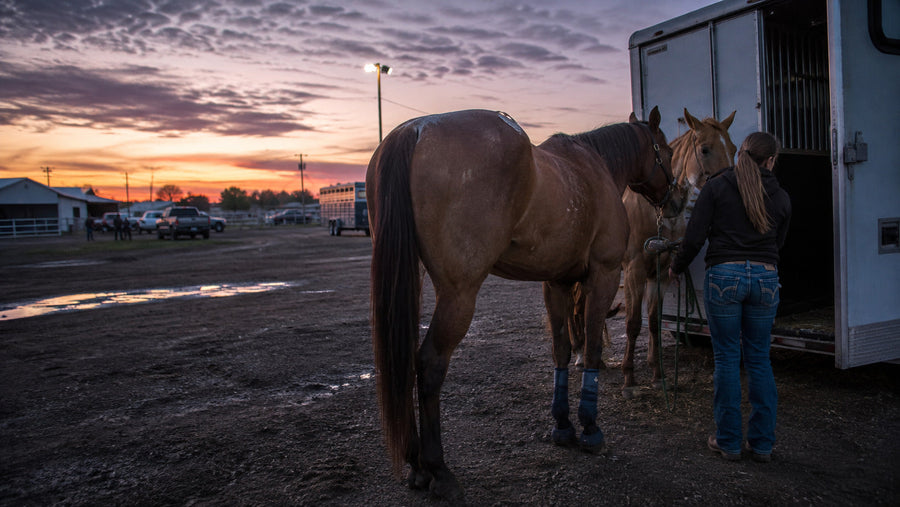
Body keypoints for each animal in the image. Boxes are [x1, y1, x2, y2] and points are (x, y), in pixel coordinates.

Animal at [367, 106, 679, 499]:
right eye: (667, 150)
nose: (677, 199)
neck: (596, 168)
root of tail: (416, 130)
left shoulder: (557, 282)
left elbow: (562, 350)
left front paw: (562, 424)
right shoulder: (604, 275)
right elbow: (592, 348)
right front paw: (590, 428)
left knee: (406, 361)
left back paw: (415, 464)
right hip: (458, 295)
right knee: (430, 364)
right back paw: (437, 469)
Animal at [568, 109, 736, 397]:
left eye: (734, 148)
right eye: (705, 149)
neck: (657, 211)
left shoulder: (661, 272)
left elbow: (654, 322)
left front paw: (658, 375)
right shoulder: (634, 272)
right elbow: (633, 323)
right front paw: (629, 379)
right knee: (574, 309)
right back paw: (580, 354)